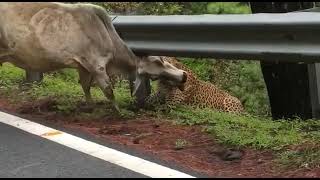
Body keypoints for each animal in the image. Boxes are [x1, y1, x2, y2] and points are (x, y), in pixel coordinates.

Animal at [0, 2, 188, 112]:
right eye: (158, 61)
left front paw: (90, 106)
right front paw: (118, 112)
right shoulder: (96, 65)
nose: (184, 76)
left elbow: (85, 87)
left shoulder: (83, 66)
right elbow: (108, 91)